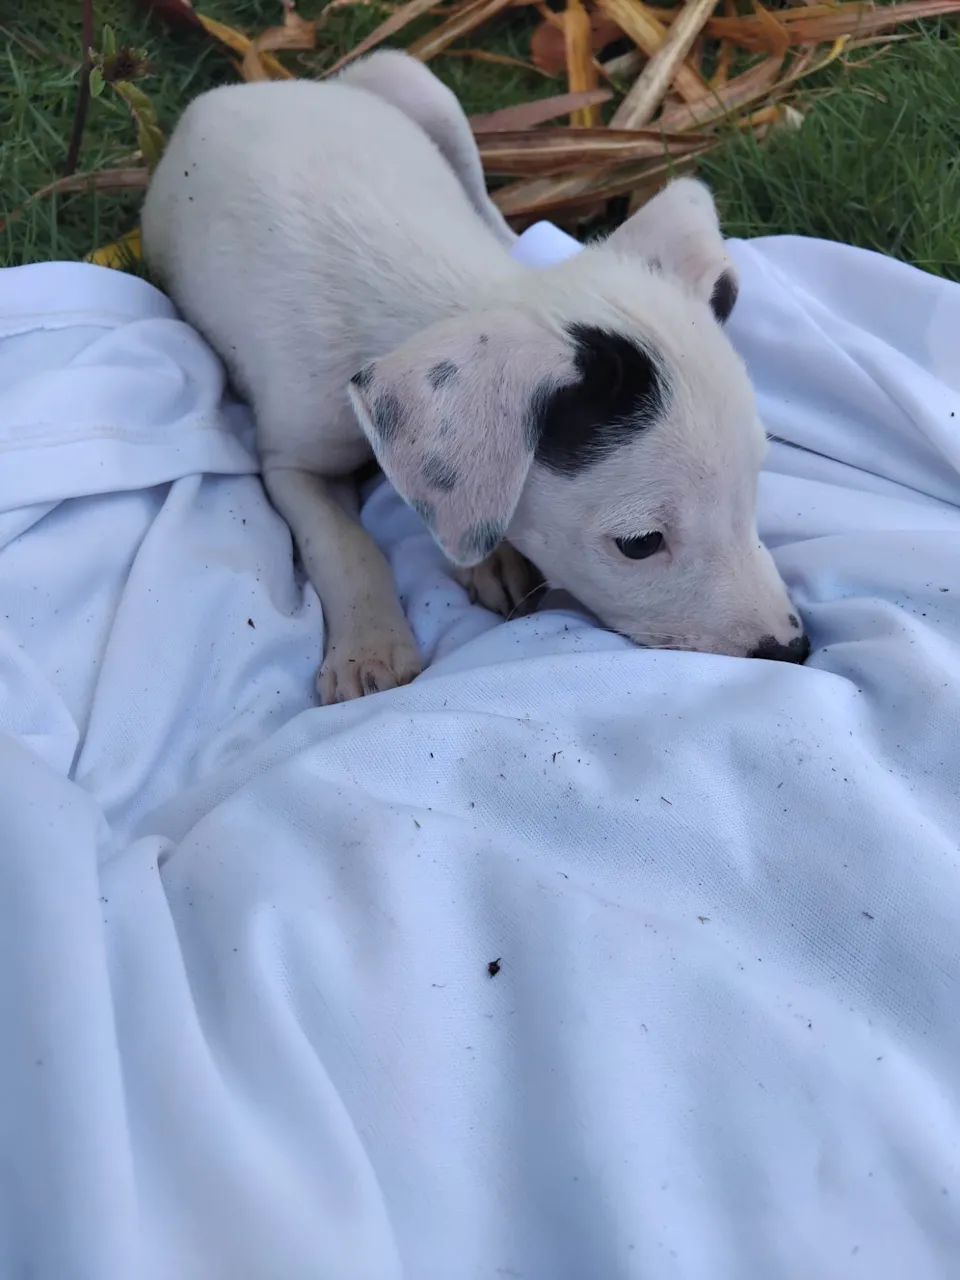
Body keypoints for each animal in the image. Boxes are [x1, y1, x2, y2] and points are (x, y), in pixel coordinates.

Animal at [141, 51, 810, 703]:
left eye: (754, 484)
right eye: (640, 544)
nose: (794, 651)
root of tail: (254, 87)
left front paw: (490, 559)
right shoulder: (292, 461)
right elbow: (344, 544)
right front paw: (370, 649)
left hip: (417, 86)